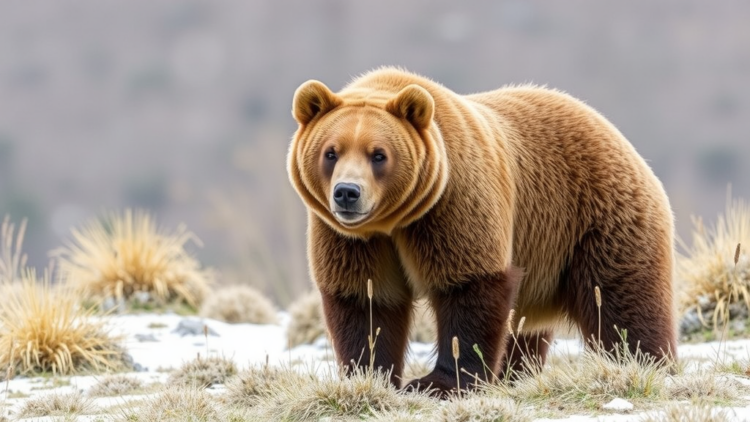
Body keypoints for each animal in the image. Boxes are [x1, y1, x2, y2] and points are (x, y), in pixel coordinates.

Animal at [287, 67, 676, 396]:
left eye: (378, 154)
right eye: (331, 152)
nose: (347, 193)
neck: (394, 222)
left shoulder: (454, 203)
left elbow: (469, 289)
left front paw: (438, 383)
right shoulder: (350, 239)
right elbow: (365, 301)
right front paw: (369, 375)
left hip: (594, 220)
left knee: (621, 301)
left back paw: (645, 364)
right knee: (524, 330)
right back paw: (515, 373)